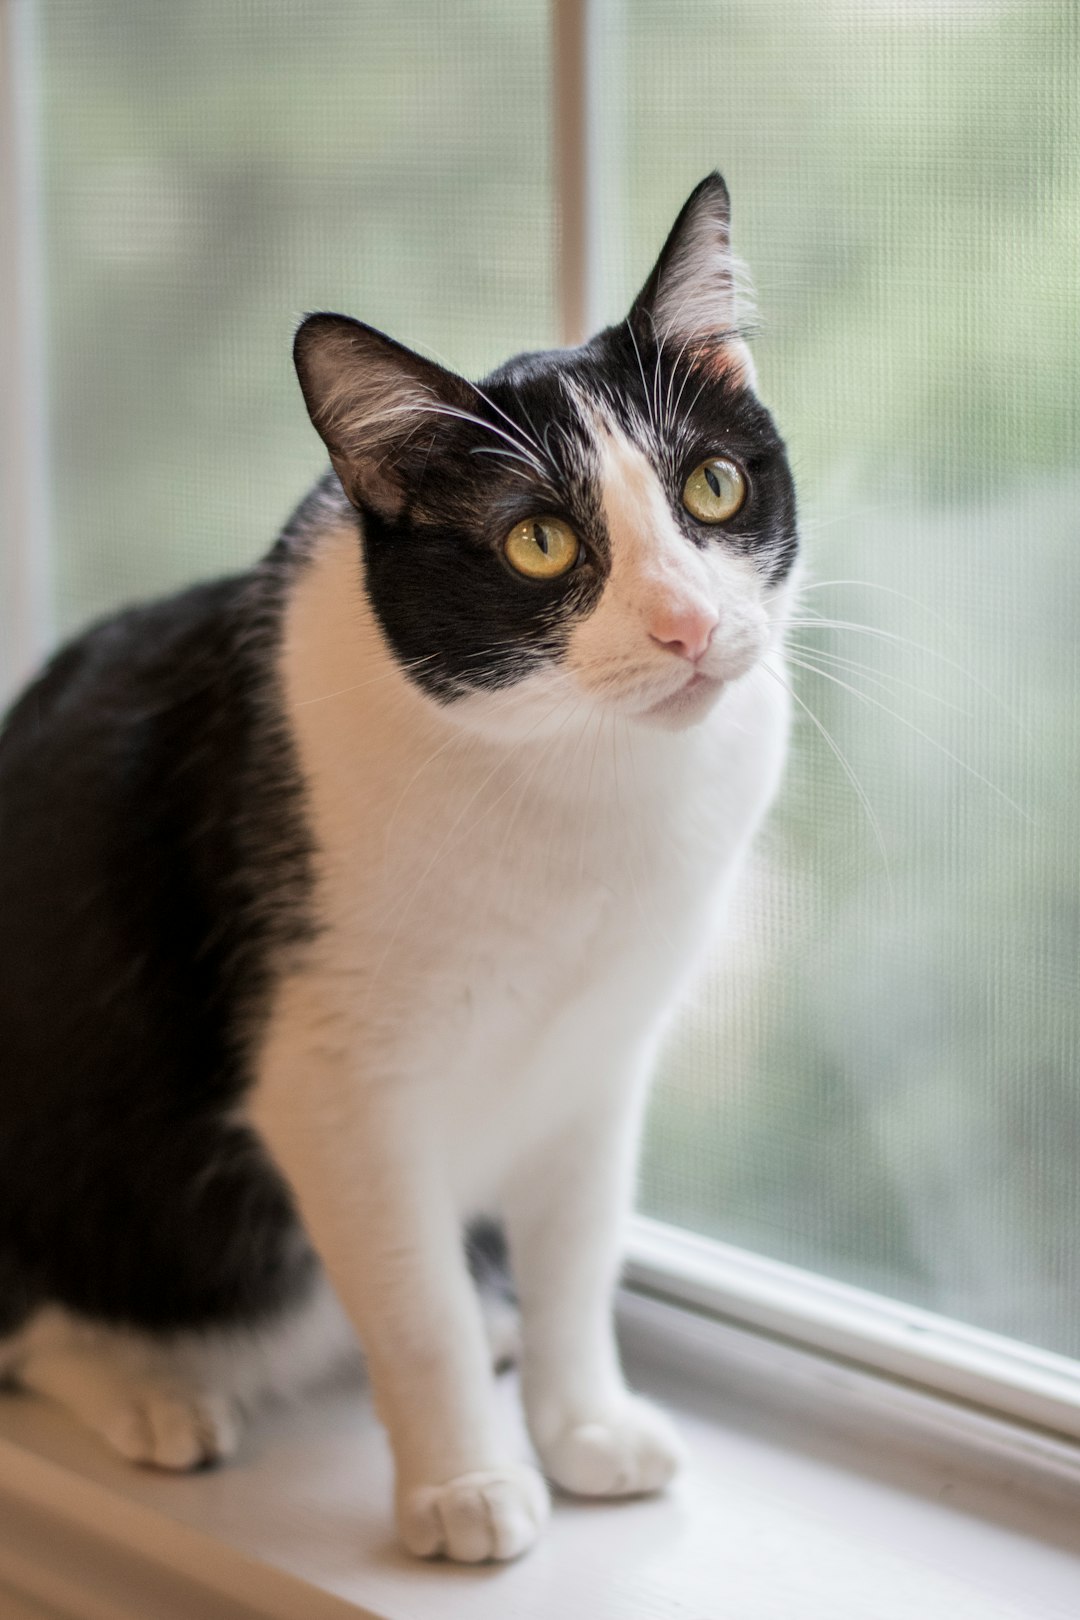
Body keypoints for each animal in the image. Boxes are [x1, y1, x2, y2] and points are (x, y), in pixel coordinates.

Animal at [0, 174, 793, 1555]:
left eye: (712, 486)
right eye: (539, 544)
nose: (689, 626)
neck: (579, 787)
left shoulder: (601, 1054)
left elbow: (579, 1253)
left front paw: (581, 1425)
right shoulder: (334, 1086)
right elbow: (410, 1301)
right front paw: (463, 1487)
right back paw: (152, 1390)